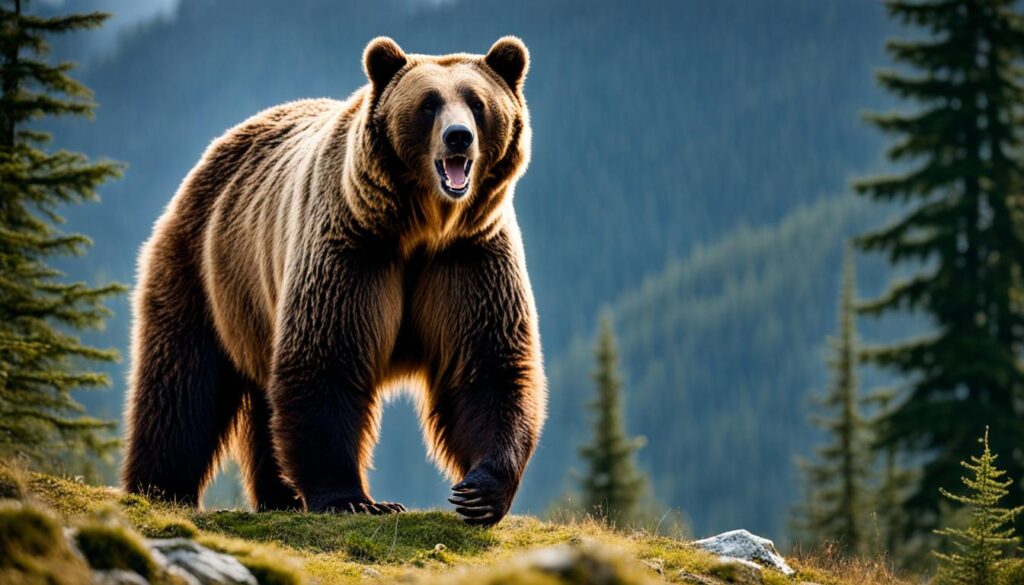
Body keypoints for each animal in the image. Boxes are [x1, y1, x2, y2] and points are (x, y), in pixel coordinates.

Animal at [121, 36, 546, 526]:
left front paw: (480, 492)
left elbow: (488, 365)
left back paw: (278, 496)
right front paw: (355, 498)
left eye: (477, 102)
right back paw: (160, 488)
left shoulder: (468, 256)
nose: (458, 136)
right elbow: (327, 361)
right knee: (181, 385)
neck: (421, 226)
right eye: (428, 103)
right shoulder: (351, 248)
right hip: (206, 267)